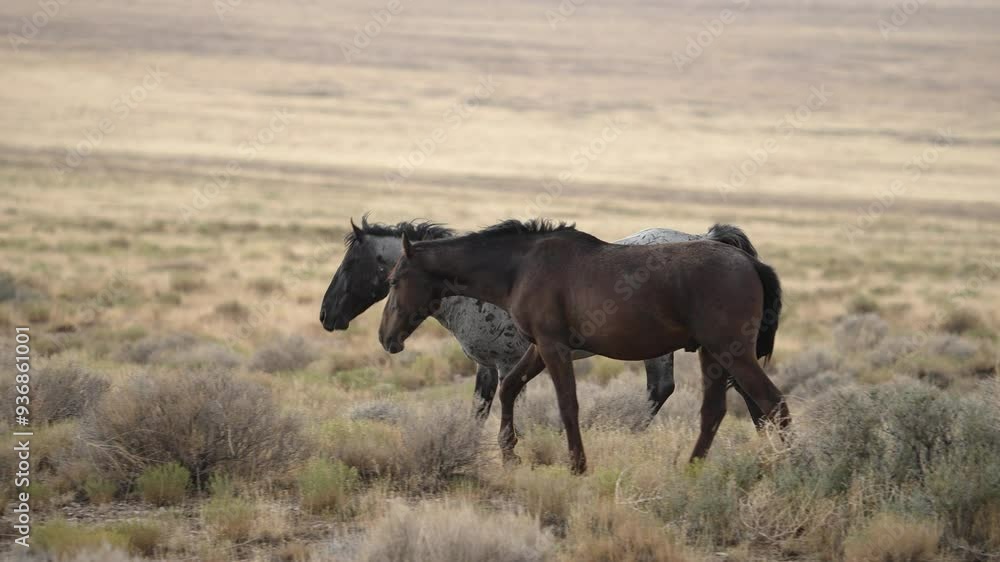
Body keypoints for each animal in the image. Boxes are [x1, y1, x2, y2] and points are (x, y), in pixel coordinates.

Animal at [320, 215, 767, 426]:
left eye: (351, 263)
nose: (326, 316)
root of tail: (709, 238)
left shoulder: (504, 362)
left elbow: (502, 403)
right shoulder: (489, 366)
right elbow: (479, 410)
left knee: (662, 390)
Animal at [378, 219, 788, 474]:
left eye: (394, 280)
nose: (386, 337)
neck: (521, 267)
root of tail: (751, 263)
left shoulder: (553, 347)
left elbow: (567, 405)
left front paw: (577, 465)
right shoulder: (537, 348)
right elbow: (510, 389)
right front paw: (509, 453)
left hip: (732, 352)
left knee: (773, 404)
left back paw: (786, 466)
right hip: (712, 355)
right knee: (715, 412)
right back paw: (692, 469)